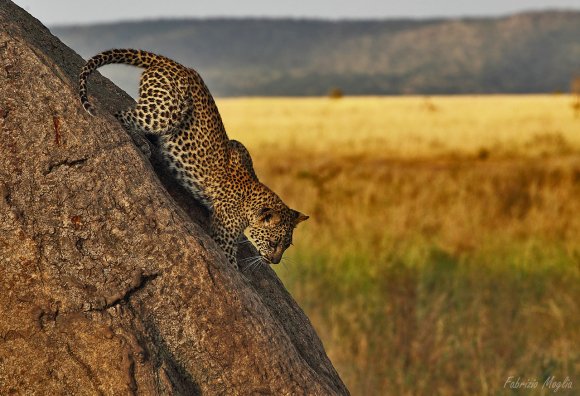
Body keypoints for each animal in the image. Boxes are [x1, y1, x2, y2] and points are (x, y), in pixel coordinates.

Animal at [80, 48, 312, 268]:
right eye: (273, 243)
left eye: (287, 245)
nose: (275, 261)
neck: (250, 202)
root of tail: (174, 63)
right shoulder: (224, 238)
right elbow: (232, 265)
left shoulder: (238, 145)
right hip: (165, 112)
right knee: (119, 114)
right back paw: (140, 141)